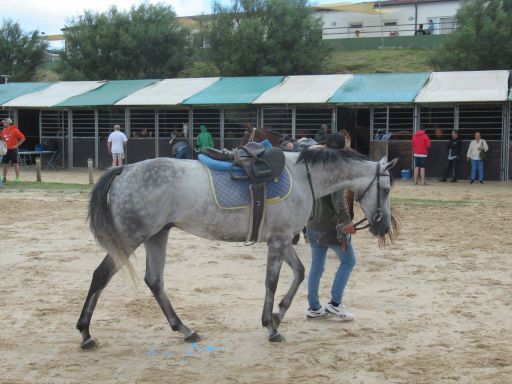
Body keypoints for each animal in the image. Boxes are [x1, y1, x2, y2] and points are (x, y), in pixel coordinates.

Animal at [76, 146, 398, 348]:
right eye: (386, 189)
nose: (383, 227)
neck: (302, 178)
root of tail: (125, 169)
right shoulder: (278, 240)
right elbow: (272, 282)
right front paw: (271, 326)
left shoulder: (282, 239)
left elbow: (300, 273)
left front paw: (279, 314)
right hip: (131, 237)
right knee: (101, 276)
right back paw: (86, 333)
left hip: (157, 236)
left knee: (154, 281)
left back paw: (185, 329)